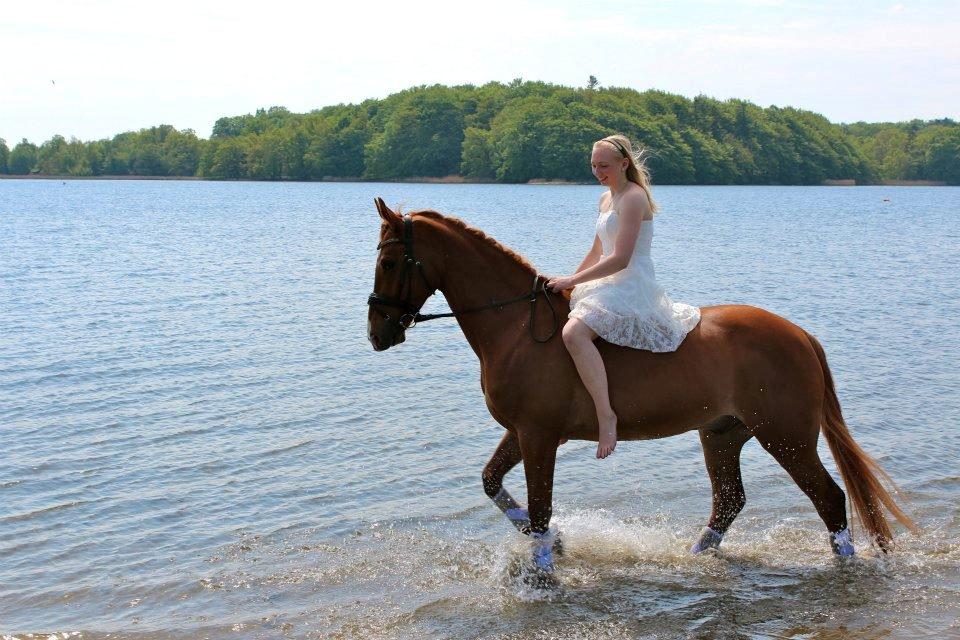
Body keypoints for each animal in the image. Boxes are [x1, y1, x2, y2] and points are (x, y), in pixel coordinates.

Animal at [366, 198, 916, 572]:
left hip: (786, 435)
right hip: (723, 433)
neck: (517, 326)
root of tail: (799, 334)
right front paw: (555, 543)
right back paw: (693, 558)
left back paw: (844, 564)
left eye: (389, 262)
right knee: (729, 501)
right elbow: (492, 483)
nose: (377, 332)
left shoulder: (539, 436)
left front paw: (544, 567)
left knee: (828, 498)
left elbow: (540, 506)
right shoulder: (520, 432)